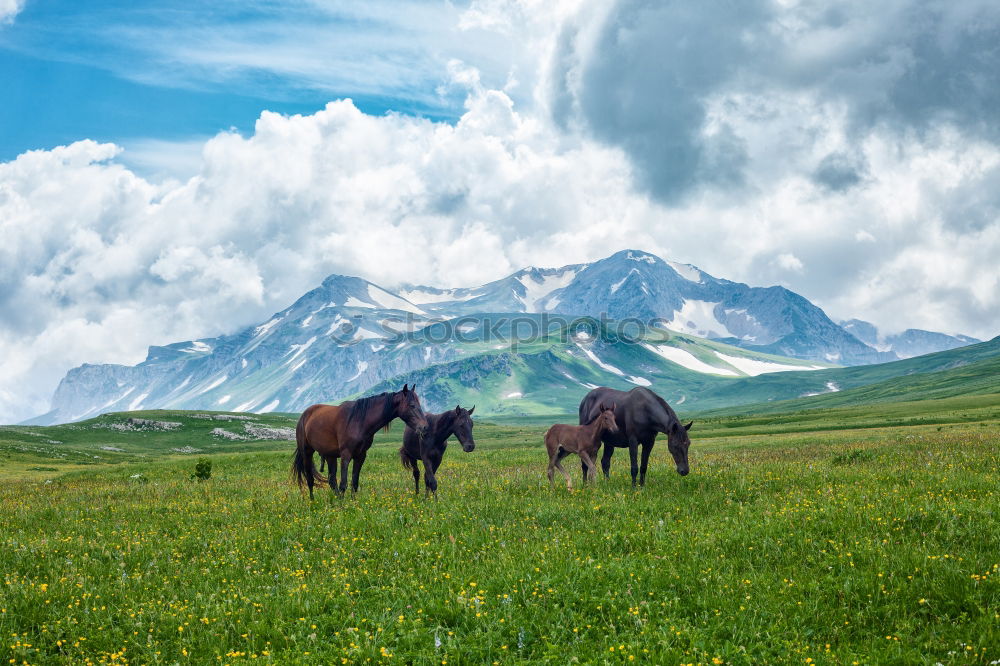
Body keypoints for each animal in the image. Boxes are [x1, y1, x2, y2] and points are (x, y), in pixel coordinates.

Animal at [292, 382, 428, 496]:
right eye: (412, 405)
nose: (425, 427)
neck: (358, 421)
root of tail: (305, 415)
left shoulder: (360, 456)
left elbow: (354, 483)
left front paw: (353, 504)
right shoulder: (346, 455)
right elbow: (343, 484)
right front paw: (343, 507)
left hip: (330, 456)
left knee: (331, 481)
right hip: (307, 453)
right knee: (310, 479)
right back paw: (312, 502)